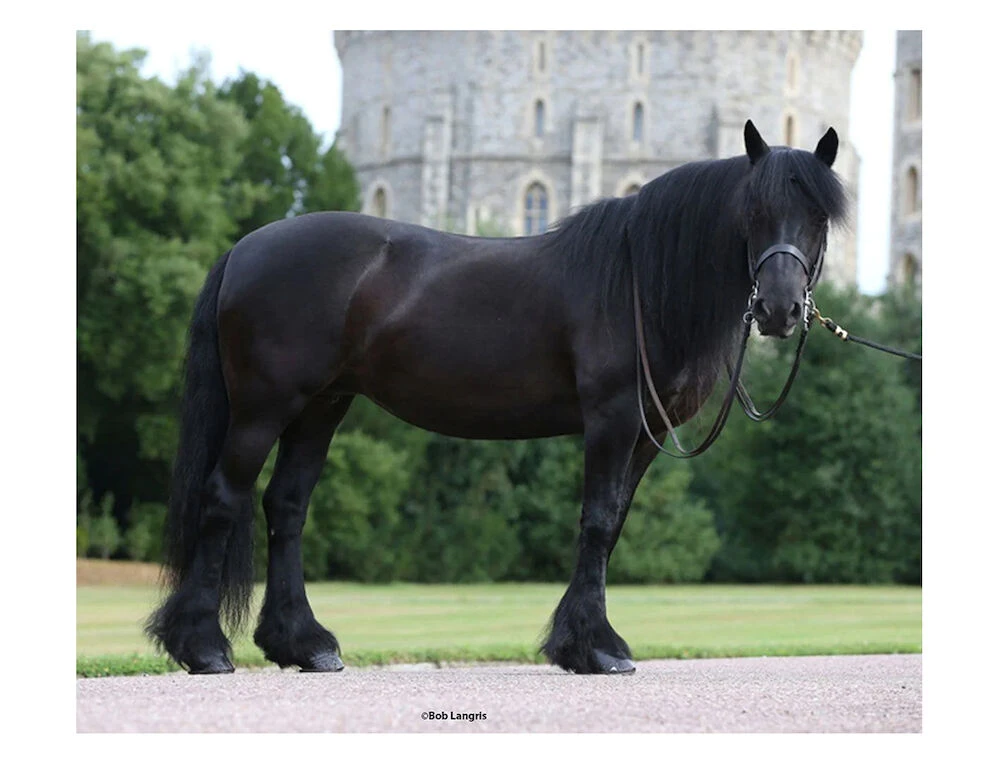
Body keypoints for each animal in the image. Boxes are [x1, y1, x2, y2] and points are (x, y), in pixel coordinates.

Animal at [146, 120, 847, 675]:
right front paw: (594, 648)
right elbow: (596, 522)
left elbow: (614, 524)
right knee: (224, 498)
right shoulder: (613, 420)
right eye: (753, 211)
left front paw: (582, 640)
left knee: (287, 507)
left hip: (322, 407)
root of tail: (245, 247)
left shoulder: (646, 437)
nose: (780, 310)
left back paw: (304, 645)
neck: (639, 282)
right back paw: (203, 647)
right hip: (263, 407)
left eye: (818, 216)